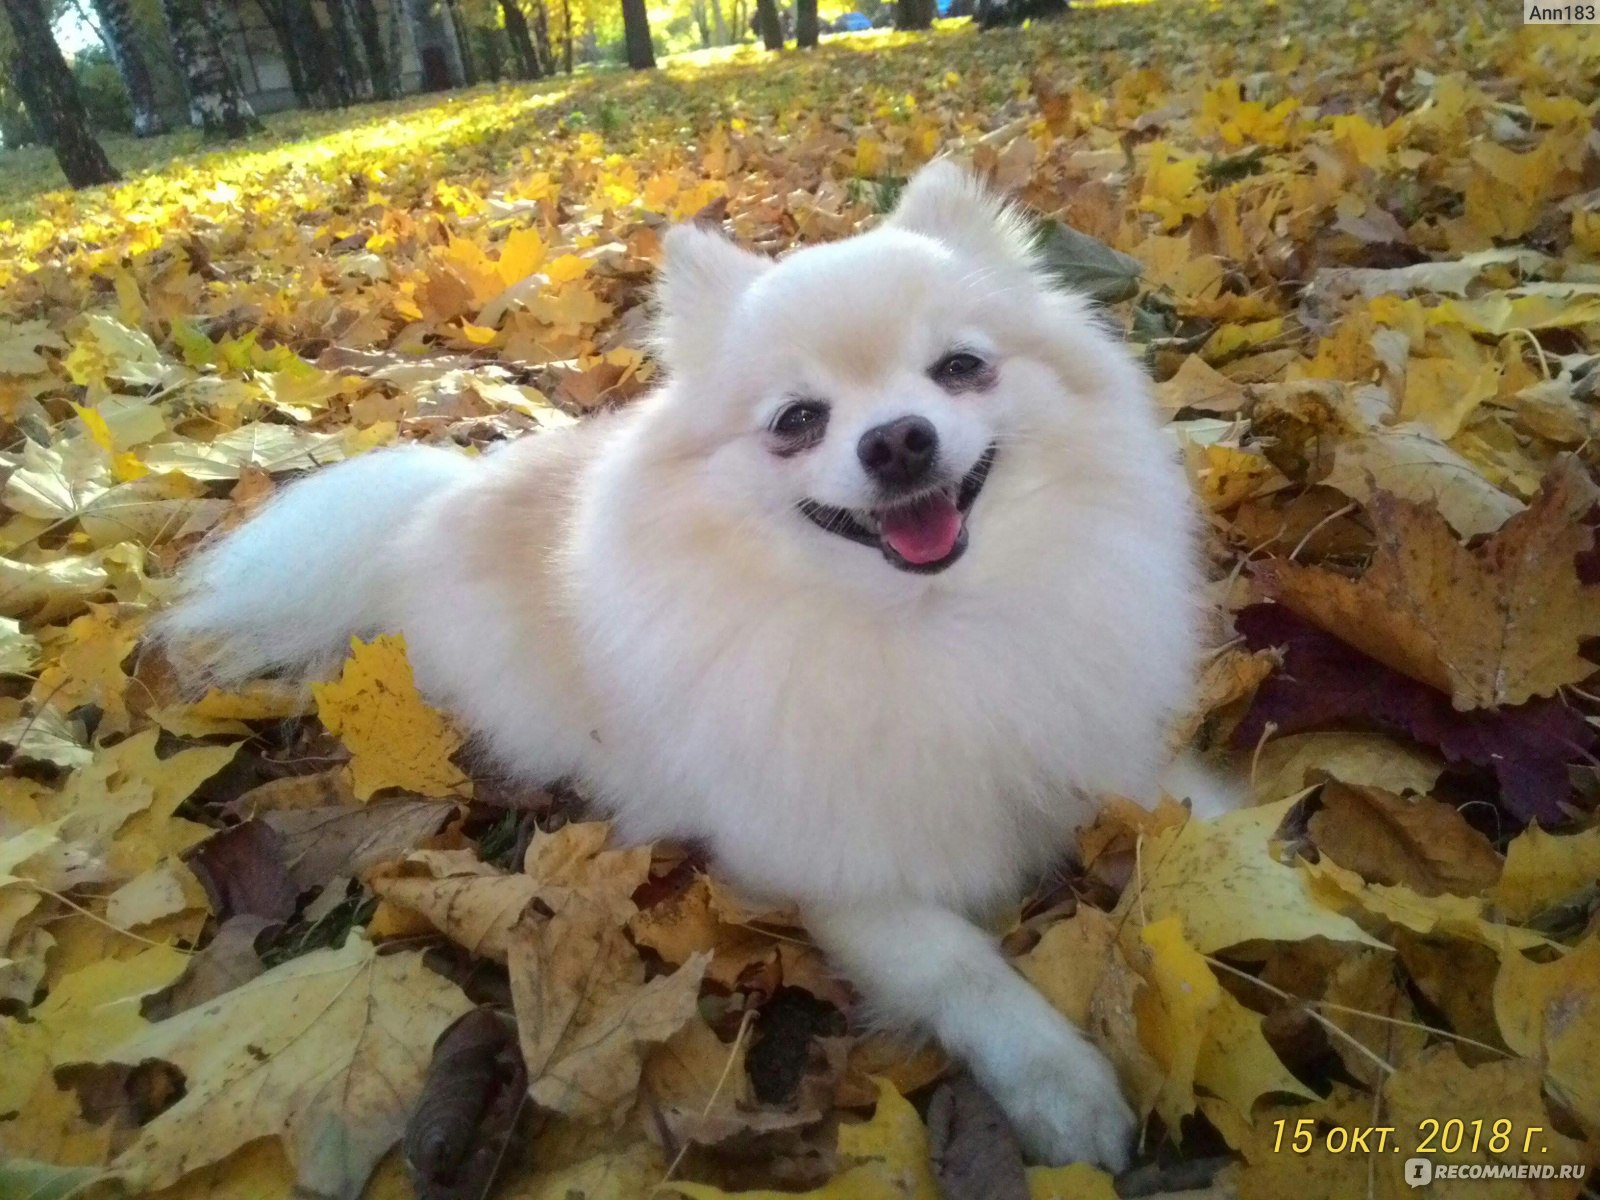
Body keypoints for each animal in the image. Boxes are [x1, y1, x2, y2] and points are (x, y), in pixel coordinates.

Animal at [159, 164, 1209, 1171]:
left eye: (961, 369)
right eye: (797, 420)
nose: (899, 439)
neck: (930, 624)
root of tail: (444, 496)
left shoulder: (1102, 747)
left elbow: (1202, 828)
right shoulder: (840, 868)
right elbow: (962, 967)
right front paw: (1062, 1085)